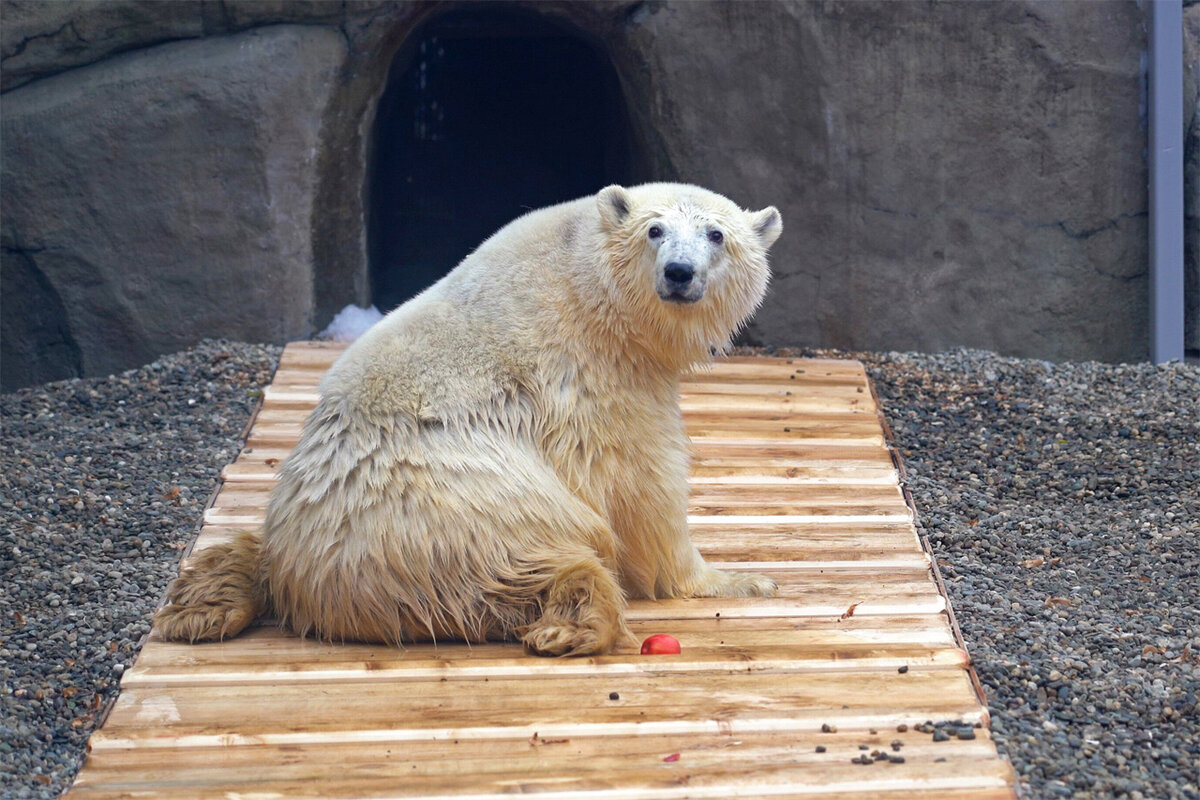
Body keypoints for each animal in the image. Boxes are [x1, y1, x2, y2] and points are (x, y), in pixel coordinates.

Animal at [154, 183, 782, 657]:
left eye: (716, 235)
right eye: (654, 231)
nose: (679, 272)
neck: (588, 284)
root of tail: (309, 580)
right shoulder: (592, 378)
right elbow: (641, 486)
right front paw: (741, 579)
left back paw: (201, 604)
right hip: (459, 511)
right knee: (529, 559)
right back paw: (572, 622)